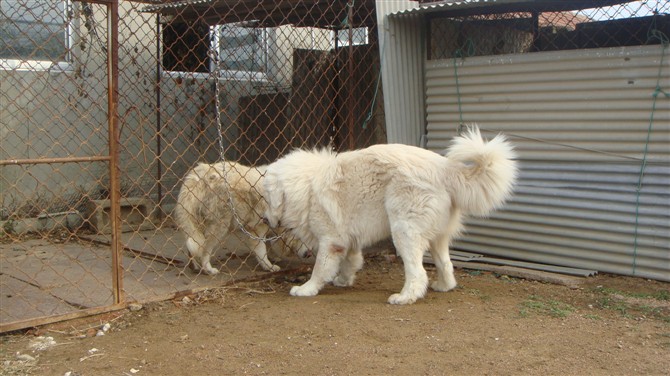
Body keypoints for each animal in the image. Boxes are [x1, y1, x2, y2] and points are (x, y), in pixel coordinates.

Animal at [264, 126, 520, 306]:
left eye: (267, 199)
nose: (265, 220)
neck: (304, 185)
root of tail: (445, 170)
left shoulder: (330, 241)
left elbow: (319, 269)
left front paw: (306, 289)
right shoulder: (347, 240)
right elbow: (350, 262)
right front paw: (343, 281)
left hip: (404, 231)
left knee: (418, 274)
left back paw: (405, 297)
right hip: (437, 237)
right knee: (446, 264)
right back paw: (443, 286)